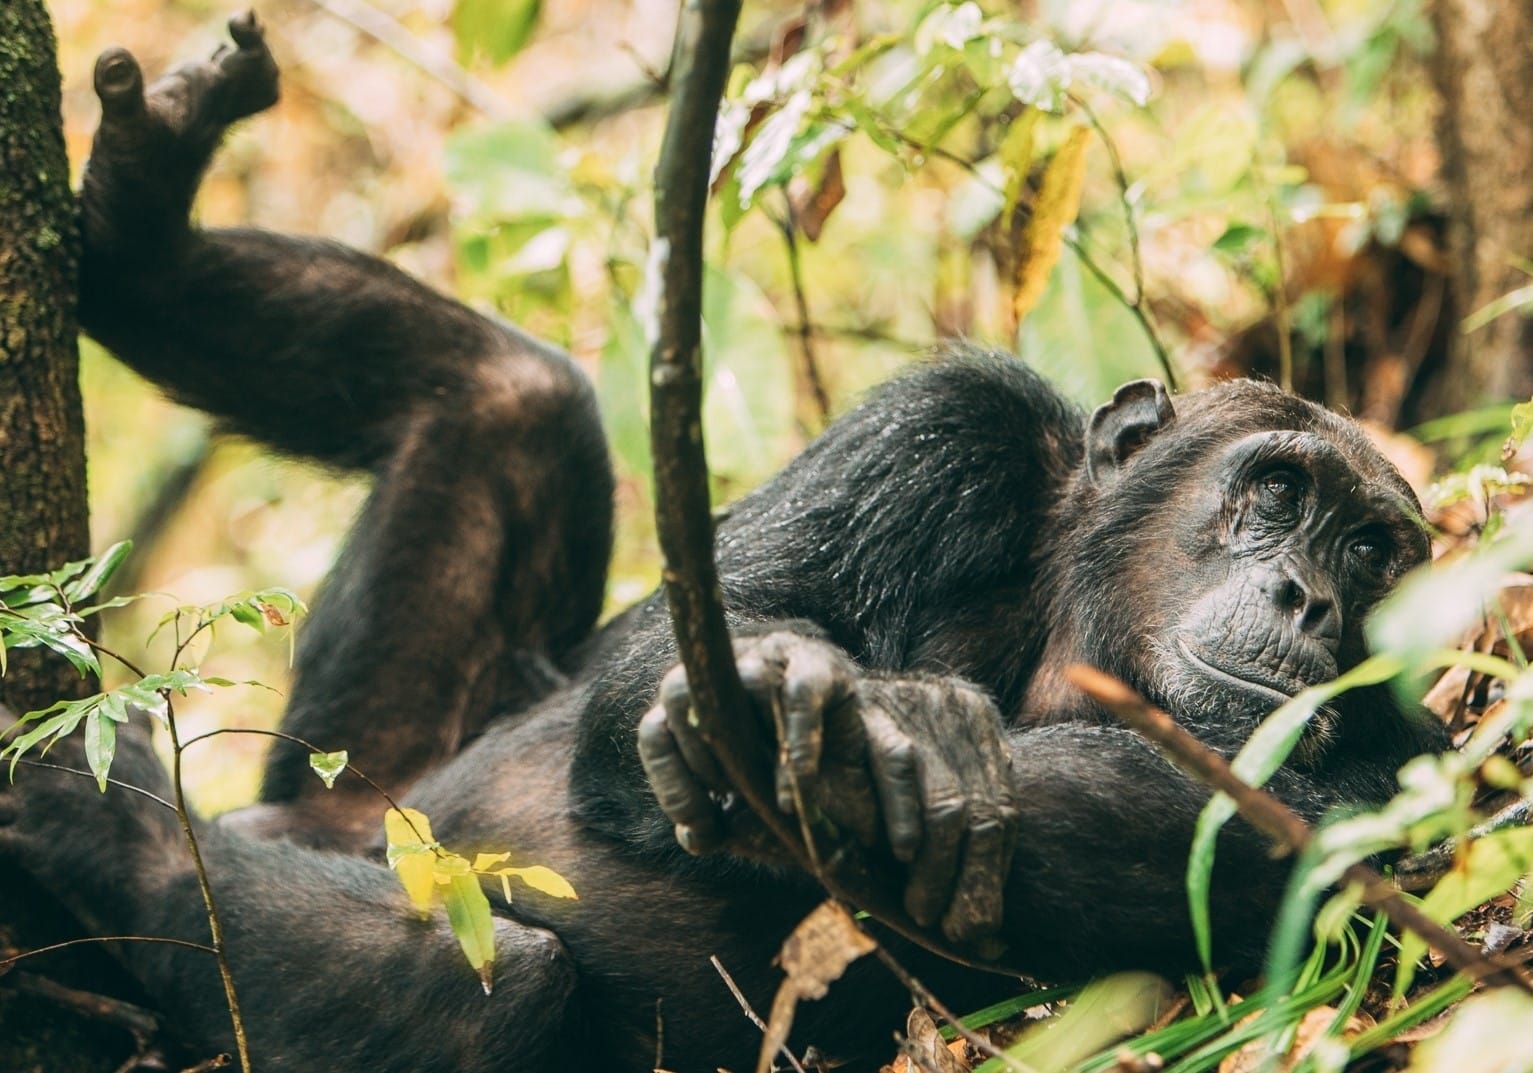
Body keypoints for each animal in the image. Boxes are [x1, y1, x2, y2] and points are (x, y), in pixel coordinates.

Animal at [0, 16, 1447, 1073]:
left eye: (1373, 552)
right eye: (1275, 489)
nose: (1309, 595)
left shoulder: (1396, 790)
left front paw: (889, 744)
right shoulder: (945, 436)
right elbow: (679, 639)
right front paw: (795, 694)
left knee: (486, 984)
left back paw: (108, 819)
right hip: (369, 762)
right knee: (513, 394)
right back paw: (141, 215)